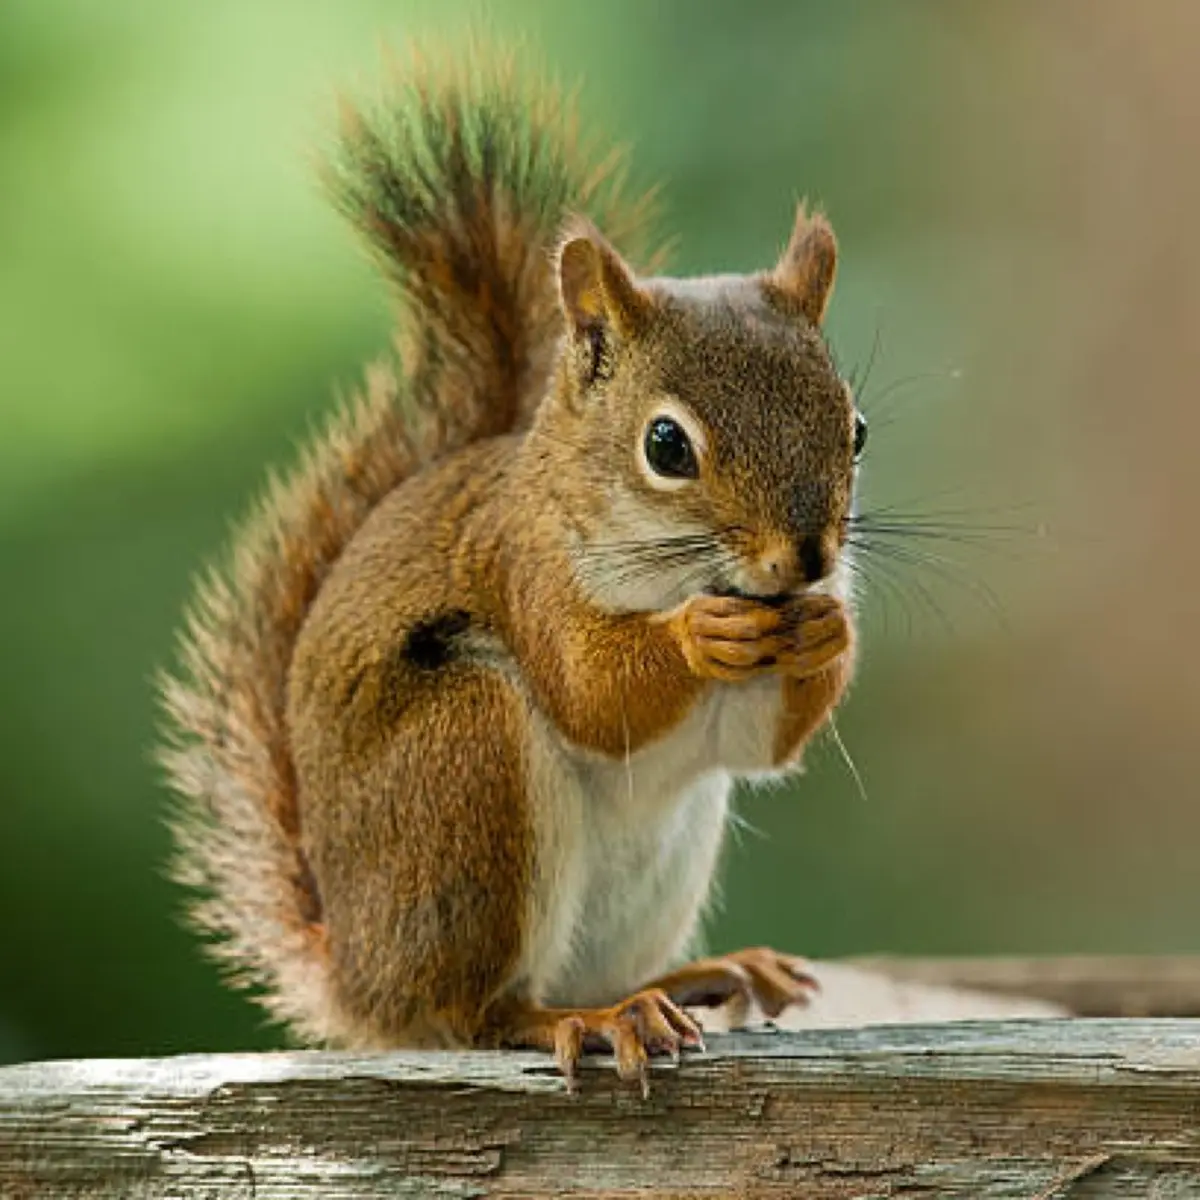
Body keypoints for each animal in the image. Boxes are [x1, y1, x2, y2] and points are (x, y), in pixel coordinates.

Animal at [158, 39, 862, 1095]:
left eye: (856, 429)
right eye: (666, 445)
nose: (809, 555)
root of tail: (360, 982)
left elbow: (759, 745)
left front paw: (828, 627)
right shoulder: (525, 572)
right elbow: (590, 691)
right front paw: (698, 636)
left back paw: (697, 978)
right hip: (466, 767)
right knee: (478, 1013)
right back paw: (588, 1019)